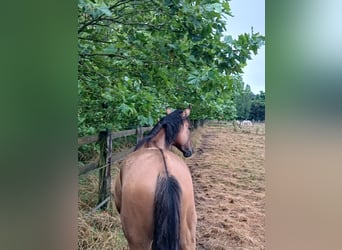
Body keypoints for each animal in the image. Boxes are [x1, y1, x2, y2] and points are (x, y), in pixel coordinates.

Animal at [112, 106, 196, 249]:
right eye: (189, 127)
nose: (190, 151)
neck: (153, 145)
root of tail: (164, 173)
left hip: (138, 241)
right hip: (188, 237)